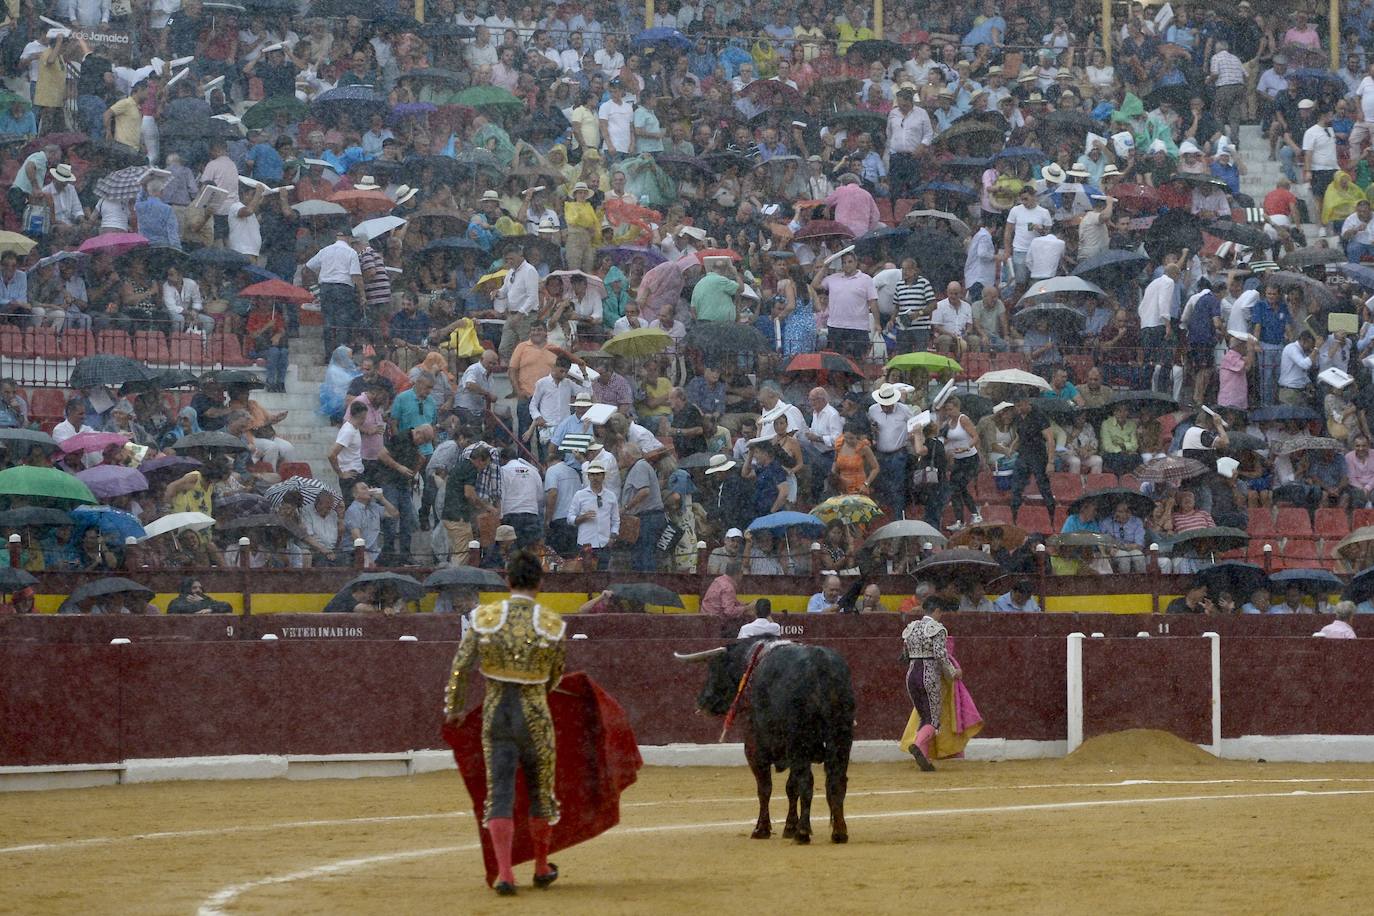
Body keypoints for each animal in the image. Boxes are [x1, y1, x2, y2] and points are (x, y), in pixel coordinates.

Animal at [673, 637, 851, 845]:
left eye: (714, 668)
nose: (701, 701)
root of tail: (821, 665)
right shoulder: (791, 753)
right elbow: (791, 787)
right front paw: (789, 827)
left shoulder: (755, 749)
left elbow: (765, 788)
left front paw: (762, 829)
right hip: (841, 738)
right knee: (837, 781)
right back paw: (839, 832)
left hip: (800, 742)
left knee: (807, 782)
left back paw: (803, 833)